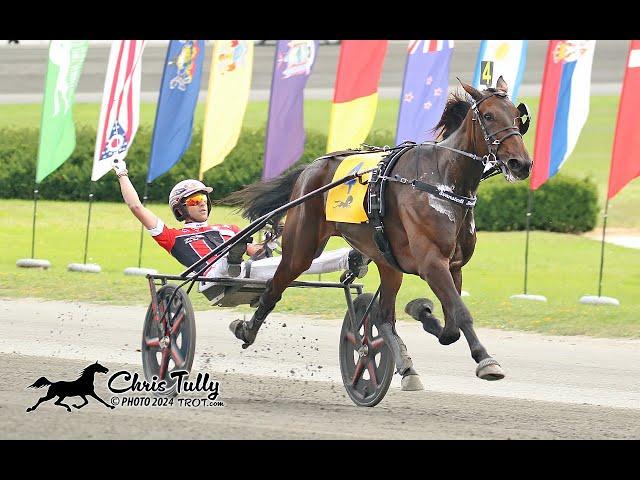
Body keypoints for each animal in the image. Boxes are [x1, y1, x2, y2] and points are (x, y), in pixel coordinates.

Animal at [222, 76, 532, 390]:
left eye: (517, 117)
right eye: (489, 116)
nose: (521, 163)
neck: (442, 180)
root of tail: (312, 166)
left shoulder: (453, 266)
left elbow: (451, 328)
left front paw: (422, 311)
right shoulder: (432, 262)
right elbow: (461, 313)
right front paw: (486, 359)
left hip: (386, 261)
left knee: (383, 316)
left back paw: (405, 367)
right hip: (302, 247)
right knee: (274, 287)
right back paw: (246, 329)